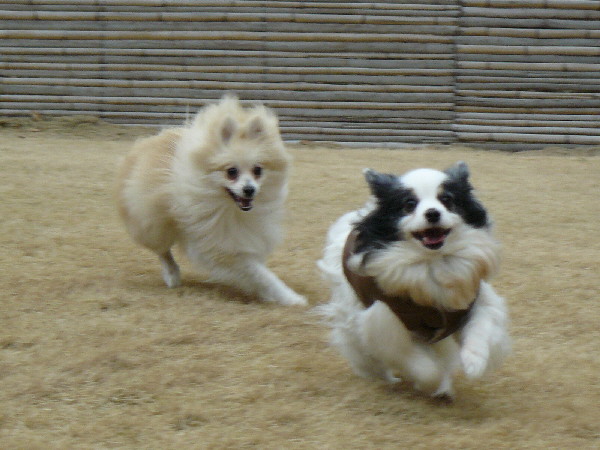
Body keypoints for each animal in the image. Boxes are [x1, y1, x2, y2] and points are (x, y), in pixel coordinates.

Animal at [116, 95, 307, 306]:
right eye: (232, 172)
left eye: (257, 170)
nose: (249, 189)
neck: (228, 207)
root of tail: (151, 140)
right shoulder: (220, 245)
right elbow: (260, 273)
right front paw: (290, 297)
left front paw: (267, 294)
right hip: (153, 221)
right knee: (162, 249)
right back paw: (172, 274)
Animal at [317, 162, 510, 398]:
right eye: (409, 204)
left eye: (447, 199)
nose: (433, 213)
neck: (431, 261)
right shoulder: (384, 318)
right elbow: (421, 366)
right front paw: (432, 383)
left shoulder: (472, 301)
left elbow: (482, 327)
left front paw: (474, 364)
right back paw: (376, 374)